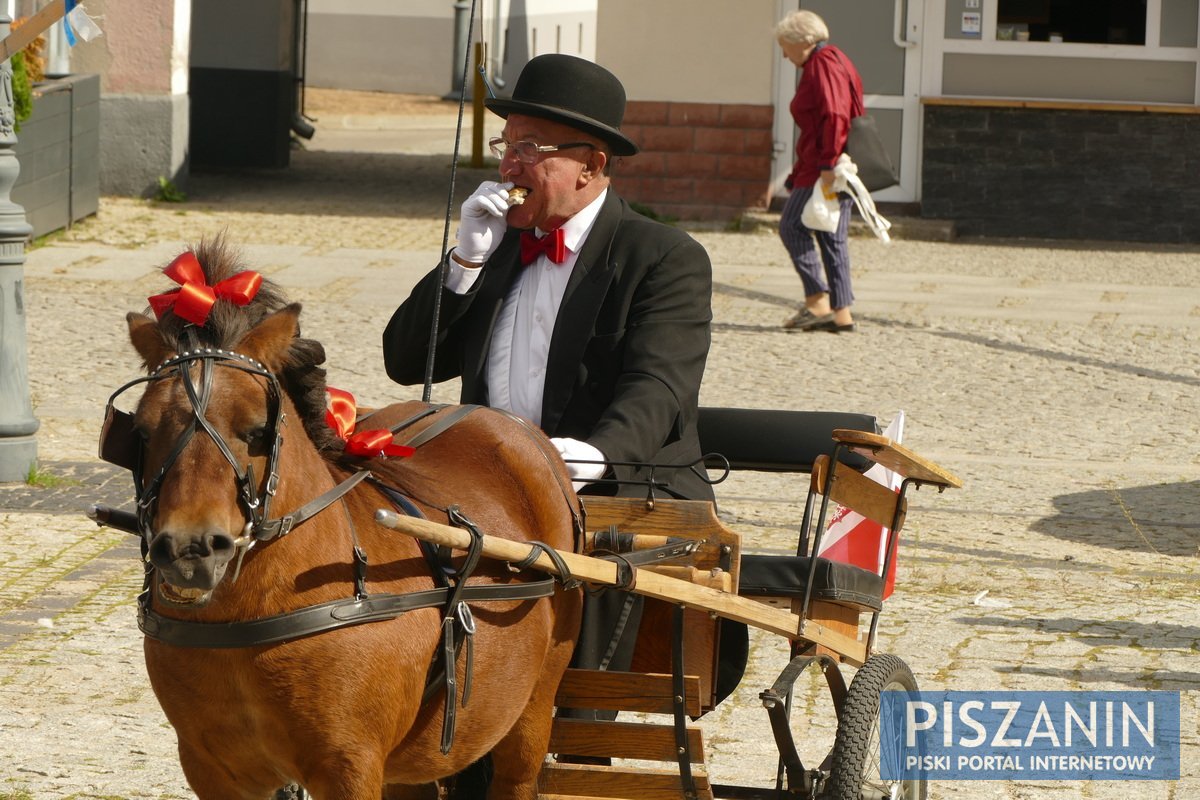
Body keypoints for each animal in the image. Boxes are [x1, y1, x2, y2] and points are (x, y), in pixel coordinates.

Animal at [115, 239, 580, 800]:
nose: (190, 551)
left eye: (257, 431)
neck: (252, 613)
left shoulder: (348, 766)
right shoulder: (212, 768)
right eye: (140, 431)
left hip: (532, 707)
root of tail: (506, 422)